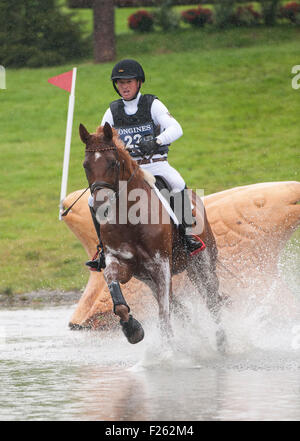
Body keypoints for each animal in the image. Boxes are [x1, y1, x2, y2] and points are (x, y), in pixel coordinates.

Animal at [78, 120, 226, 350]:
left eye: (112, 163)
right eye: (86, 165)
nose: (101, 205)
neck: (129, 218)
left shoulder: (161, 264)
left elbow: (164, 313)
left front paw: (167, 353)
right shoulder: (122, 263)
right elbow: (114, 287)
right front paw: (132, 330)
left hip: (202, 263)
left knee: (211, 298)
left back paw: (221, 340)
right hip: (150, 277)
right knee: (179, 305)